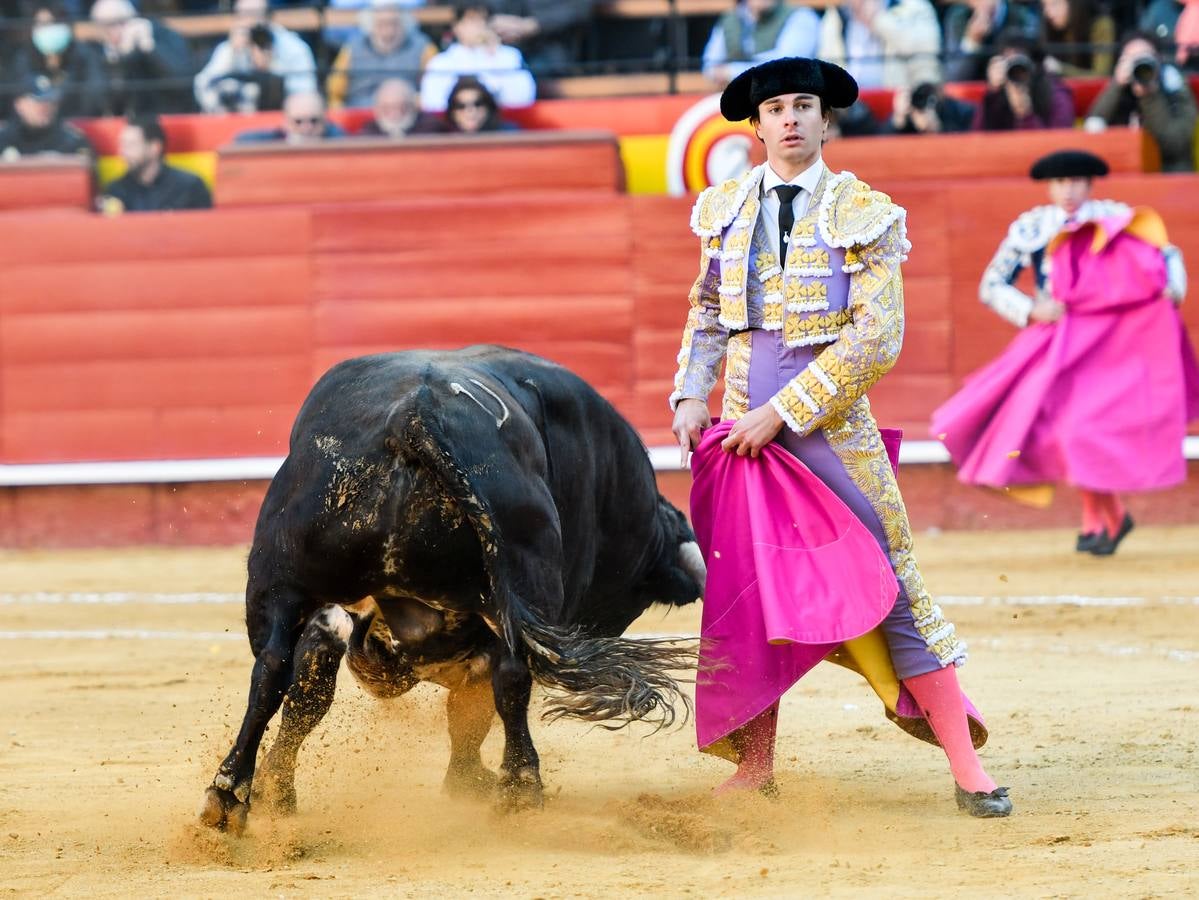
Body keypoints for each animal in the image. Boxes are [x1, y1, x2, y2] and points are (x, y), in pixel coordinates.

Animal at [196, 347, 700, 829]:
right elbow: (470, 711)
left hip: (280, 581)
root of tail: (412, 416)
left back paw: (230, 794)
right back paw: (520, 787)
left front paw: (274, 788)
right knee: (512, 678)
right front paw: (469, 781)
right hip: (519, 587)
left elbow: (308, 694)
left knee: (272, 671)